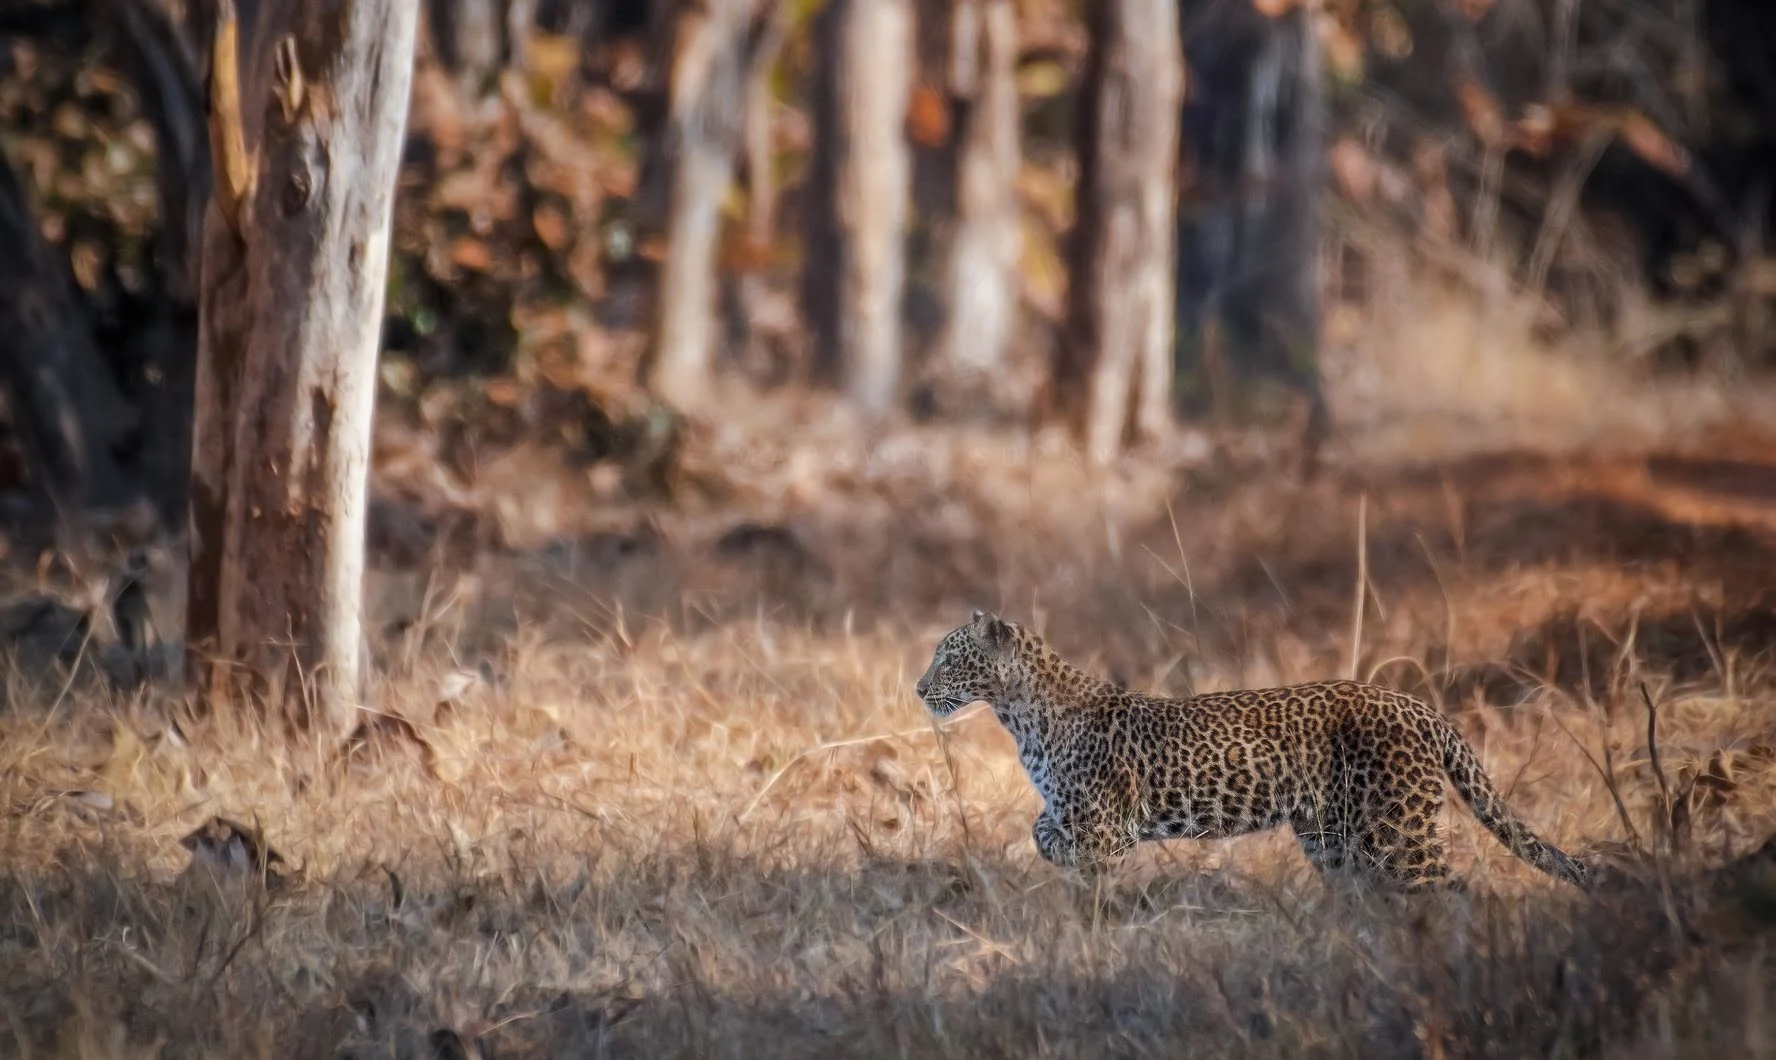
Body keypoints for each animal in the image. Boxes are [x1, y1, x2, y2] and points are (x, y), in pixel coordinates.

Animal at [914, 610, 1591, 892]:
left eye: (949, 658)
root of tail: (1418, 706)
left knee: (1452, 893)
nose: (919, 688)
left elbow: (1085, 882)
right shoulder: (1077, 817)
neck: (1017, 714)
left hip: (1401, 831)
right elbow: (1040, 830)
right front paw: (1047, 846)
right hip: (1332, 837)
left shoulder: (1105, 830)